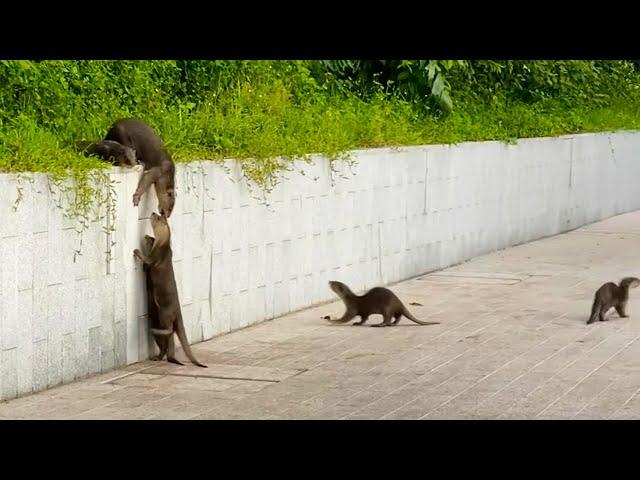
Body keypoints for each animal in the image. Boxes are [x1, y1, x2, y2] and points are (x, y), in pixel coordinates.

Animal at [134, 212, 206, 366]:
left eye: (157, 218)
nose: (153, 213)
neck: (163, 245)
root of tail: (178, 312)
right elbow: (146, 267)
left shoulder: (156, 255)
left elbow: (147, 259)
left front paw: (137, 250)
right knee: (165, 341)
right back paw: (158, 356)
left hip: (165, 312)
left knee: (169, 329)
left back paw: (155, 331)